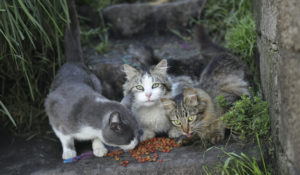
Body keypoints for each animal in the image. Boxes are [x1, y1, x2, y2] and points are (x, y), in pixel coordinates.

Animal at [44, 2, 139, 160]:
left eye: (137, 134)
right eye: (129, 137)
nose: (136, 144)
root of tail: (73, 62)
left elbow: (96, 137)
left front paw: (99, 148)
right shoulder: (56, 117)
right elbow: (65, 137)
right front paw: (69, 152)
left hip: (96, 82)